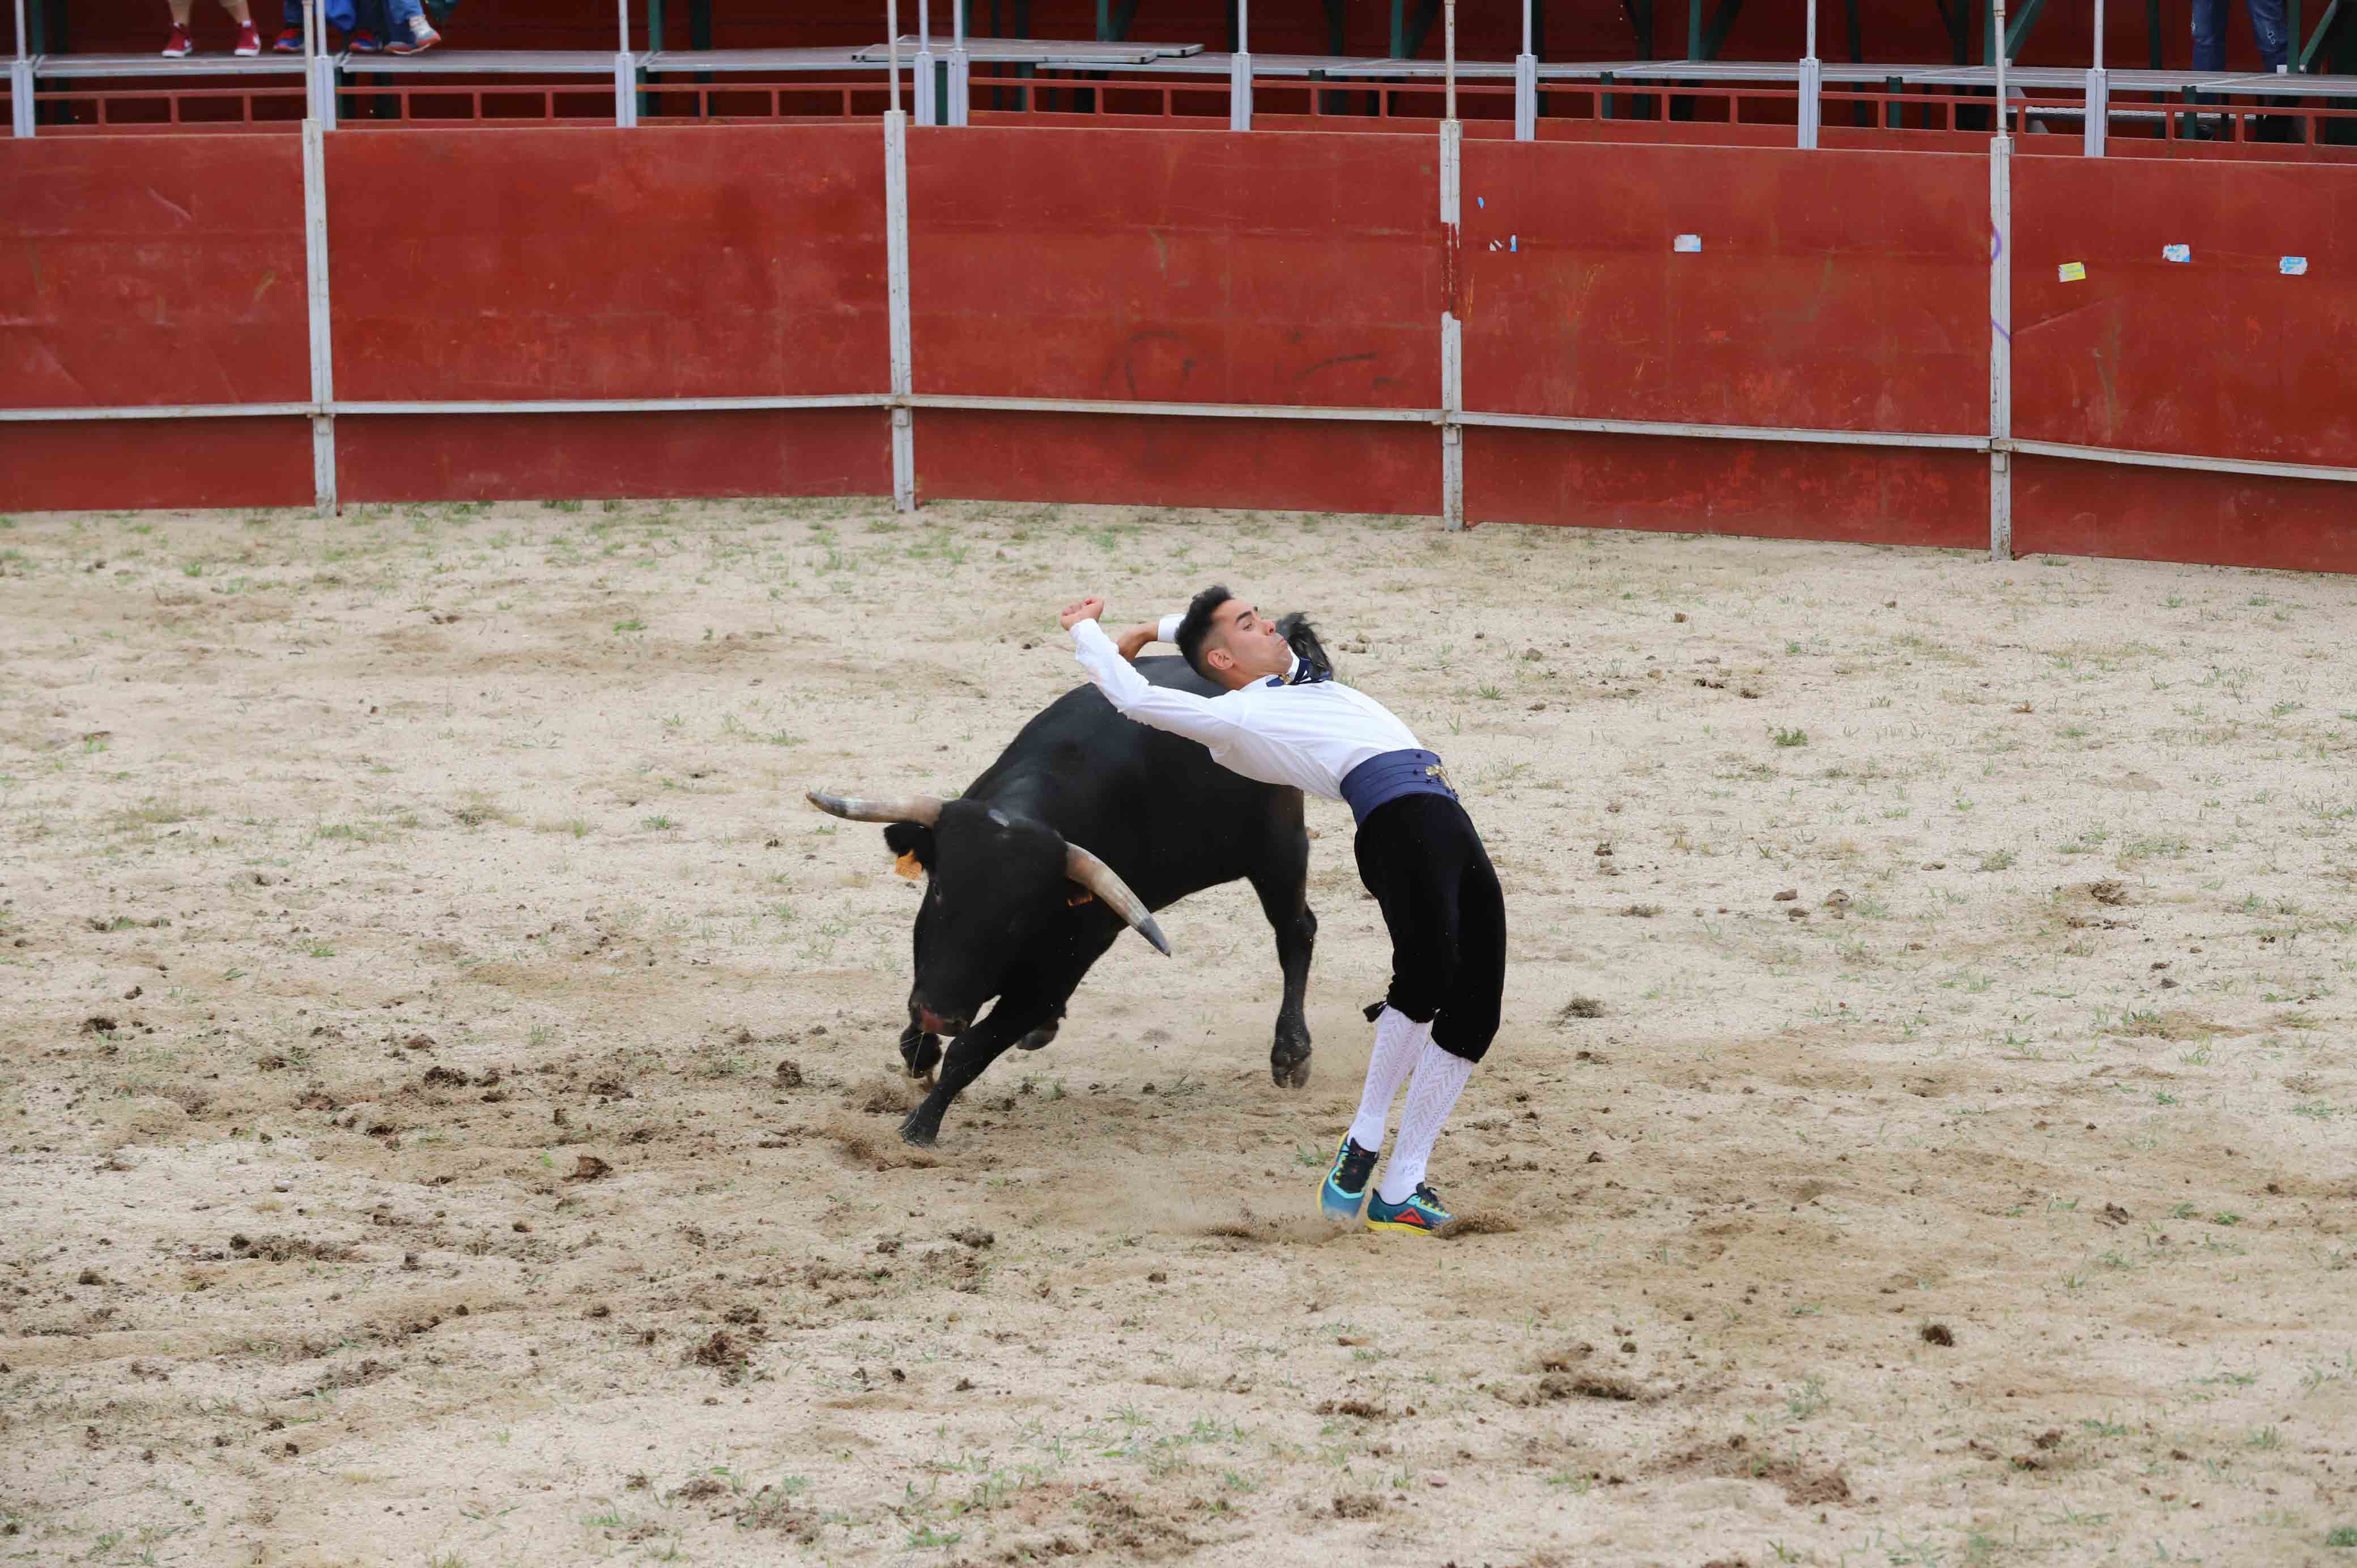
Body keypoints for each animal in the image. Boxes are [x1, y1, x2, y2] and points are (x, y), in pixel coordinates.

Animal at [806, 617, 1329, 1145]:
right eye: (937, 890)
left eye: (1018, 918)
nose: (942, 1015)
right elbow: (921, 1026)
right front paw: (921, 1053)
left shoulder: (1057, 972)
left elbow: (971, 1050)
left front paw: (921, 1126)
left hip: (1280, 851)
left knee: (1296, 932)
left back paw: (1292, 1053)